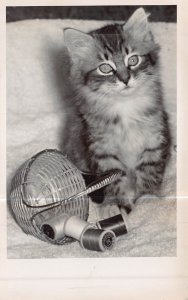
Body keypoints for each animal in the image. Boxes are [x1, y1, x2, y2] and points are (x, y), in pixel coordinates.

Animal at [62, 8, 170, 217]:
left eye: (133, 60)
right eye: (105, 68)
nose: (125, 79)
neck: (125, 106)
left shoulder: (154, 140)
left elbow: (150, 173)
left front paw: (147, 201)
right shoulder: (102, 149)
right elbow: (114, 180)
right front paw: (116, 204)